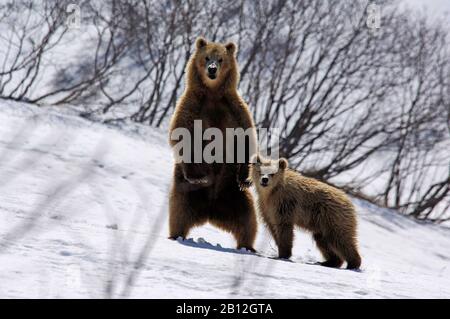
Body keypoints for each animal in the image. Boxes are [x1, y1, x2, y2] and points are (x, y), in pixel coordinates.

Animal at [167, 37, 256, 252]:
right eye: (207, 57)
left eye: (221, 59)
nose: (212, 69)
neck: (213, 93)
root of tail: (210, 210)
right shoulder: (192, 105)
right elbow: (181, 134)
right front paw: (197, 174)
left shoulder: (235, 108)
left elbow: (247, 138)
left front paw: (246, 177)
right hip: (186, 191)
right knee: (178, 211)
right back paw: (176, 235)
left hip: (234, 194)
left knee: (248, 220)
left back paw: (247, 246)